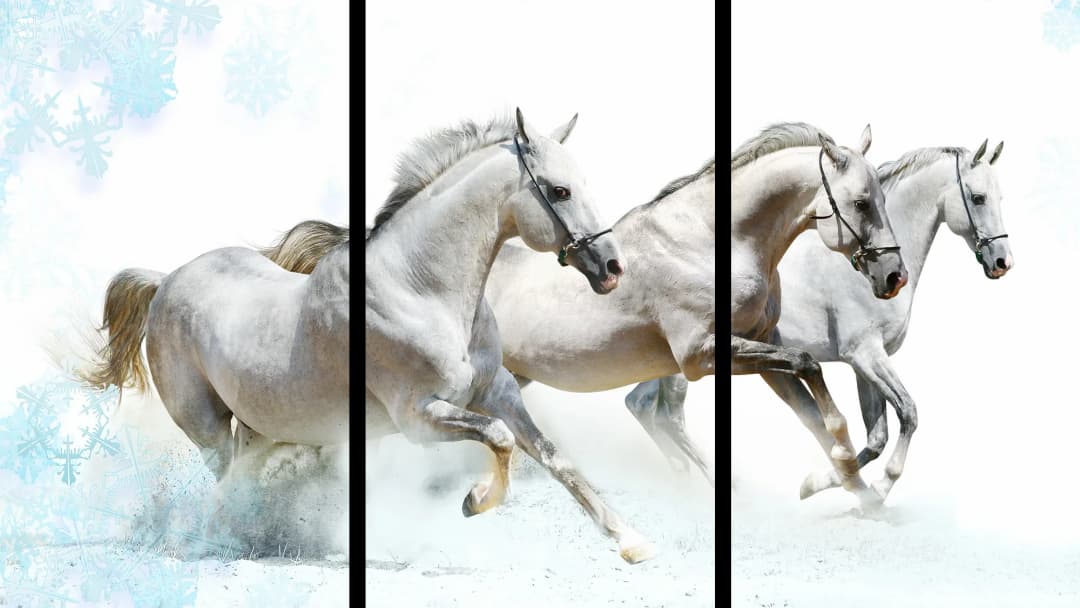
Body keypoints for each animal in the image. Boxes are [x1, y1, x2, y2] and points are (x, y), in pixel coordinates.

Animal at [364, 109, 656, 564]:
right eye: (560, 191)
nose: (613, 266)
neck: (421, 289)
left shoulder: (497, 392)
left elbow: (551, 456)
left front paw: (629, 538)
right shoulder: (419, 414)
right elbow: (501, 441)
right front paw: (476, 498)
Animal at [730, 123, 907, 506]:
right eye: (861, 203)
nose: (894, 276)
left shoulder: (865, 358)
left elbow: (877, 431)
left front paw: (838, 482)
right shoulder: (864, 353)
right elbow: (906, 412)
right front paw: (870, 485)